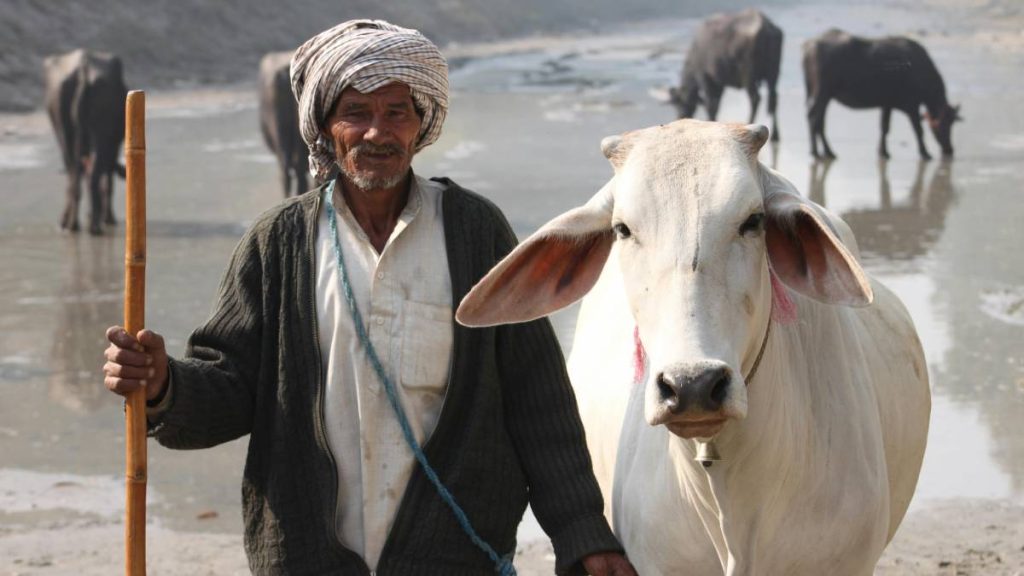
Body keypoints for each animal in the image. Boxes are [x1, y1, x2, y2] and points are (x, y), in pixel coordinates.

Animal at [43, 49, 128, 235]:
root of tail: (84, 68)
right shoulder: (113, 145)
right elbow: (108, 181)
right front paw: (107, 217)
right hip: (99, 136)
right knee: (91, 175)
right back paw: (92, 224)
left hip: (65, 135)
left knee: (75, 175)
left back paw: (72, 224)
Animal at [668, 9, 783, 142]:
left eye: (680, 103)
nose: (680, 116)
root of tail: (765, 25)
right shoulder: (720, 84)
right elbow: (716, 104)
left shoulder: (705, 78)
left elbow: (711, 105)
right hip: (774, 74)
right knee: (774, 99)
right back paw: (775, 135)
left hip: (748, 76)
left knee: (755, 98)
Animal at [802, 29, 962, 160]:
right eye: (941, 124)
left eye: (952, 122)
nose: (949, 149)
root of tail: (809, 45)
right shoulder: (912, 106)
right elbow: (918, 130)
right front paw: (925, 153)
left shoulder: (887, 104)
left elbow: (884, 127)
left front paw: (883, 152)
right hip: (822, 92)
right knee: (814, 118)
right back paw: (817, 152)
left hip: (822, 95)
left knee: (820, 121)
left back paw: (826, 152)